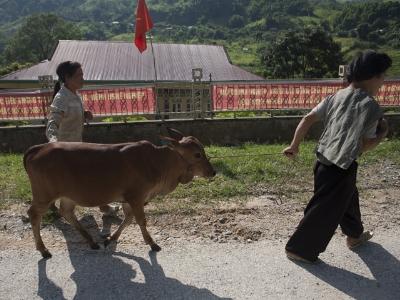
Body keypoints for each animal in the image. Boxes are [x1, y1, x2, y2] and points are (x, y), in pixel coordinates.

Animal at [24, 131, 216, 258]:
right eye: (197, 154)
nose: (212, 172)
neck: (157, 162)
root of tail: (39, 148)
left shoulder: (128, 200)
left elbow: (128, 220)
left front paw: (110, 239)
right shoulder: (136, 197)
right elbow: (141, 220)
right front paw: (152, 243)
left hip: (67, 196)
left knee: (67, 212)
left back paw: (91, 241)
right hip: (44, 195)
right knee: (34, 214)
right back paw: (43, 249)